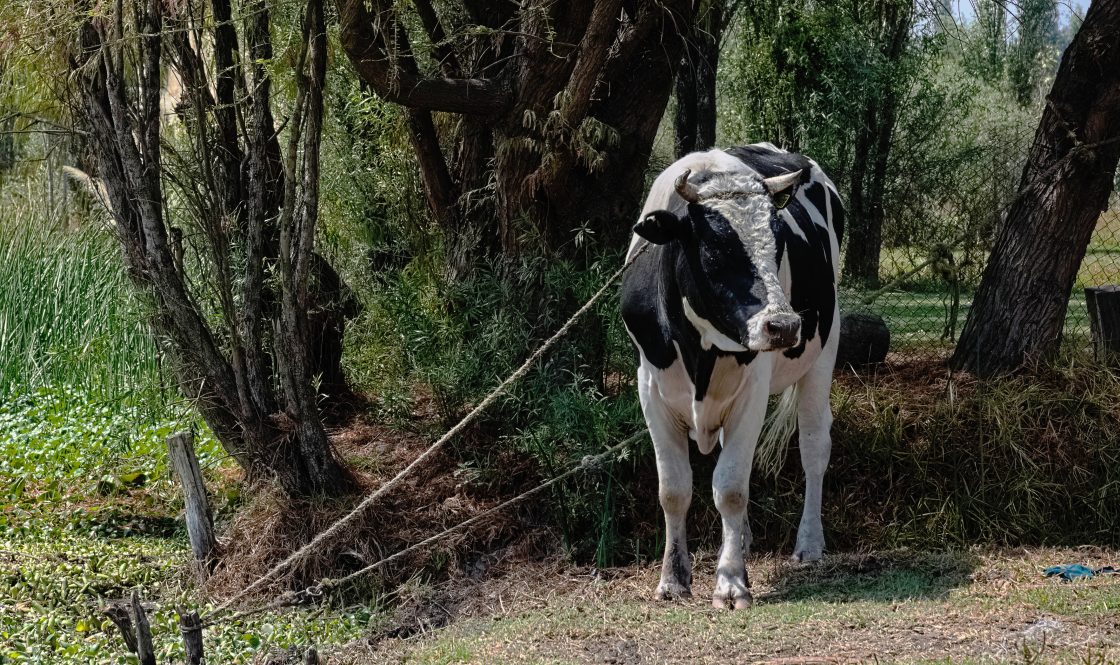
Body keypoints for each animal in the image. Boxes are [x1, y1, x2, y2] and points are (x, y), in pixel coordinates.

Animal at [620, 143, 843, 609]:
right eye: (715, 248)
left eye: (779, 241)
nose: (784, 325)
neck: (699, 350)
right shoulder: (650, 388)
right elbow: (674, 489)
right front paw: (673, 579)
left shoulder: (753, 391)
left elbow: (730, 487)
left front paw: (731, 582)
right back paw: (740, 540)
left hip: (824, 351)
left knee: (814, 446)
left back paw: (809, 544)